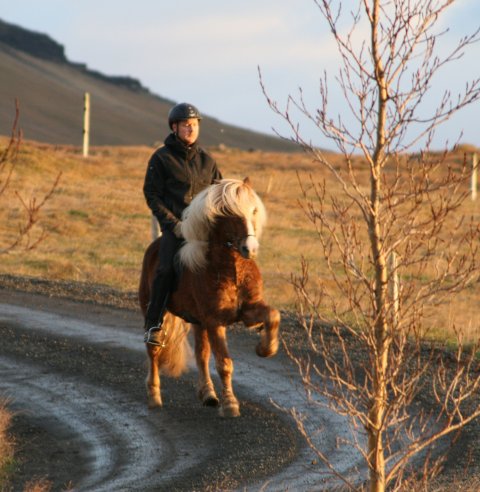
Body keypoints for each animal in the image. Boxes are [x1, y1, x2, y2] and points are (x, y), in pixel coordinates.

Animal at [138, 179, 282, 418]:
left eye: (253, 210)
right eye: (232, 214)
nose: (250, 249)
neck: (231, 268)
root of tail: (153, 247)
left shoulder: (247, 310)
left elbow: (273, 315)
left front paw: (266, 348)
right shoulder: (216, 321)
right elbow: (224, 363)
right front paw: (231, 404)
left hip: (199, 322)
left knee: (201, 355)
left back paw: (208, 394)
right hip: (157, 313)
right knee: (154, 352)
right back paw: (153, 396)